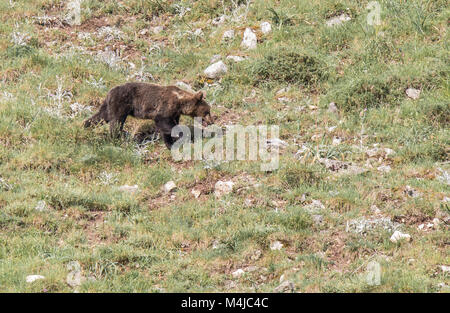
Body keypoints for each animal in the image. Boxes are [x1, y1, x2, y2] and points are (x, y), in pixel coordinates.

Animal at [84, 81, 214, 147]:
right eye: (207, 111)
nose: (212, 121)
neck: (180, 102)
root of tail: (109, 91)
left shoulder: (175, 113)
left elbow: (167, 127)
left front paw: (170, 142)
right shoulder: (165, 107)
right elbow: (165, 122)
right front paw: (181, 136)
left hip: (110, 105)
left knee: (101, 116)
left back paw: (85, 125)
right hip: (121, 103)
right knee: (116, 121)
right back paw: (116, 138)